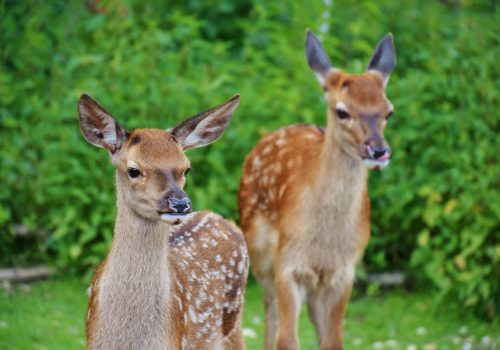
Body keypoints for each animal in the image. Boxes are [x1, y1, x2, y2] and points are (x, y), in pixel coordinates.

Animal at [236, 30, 396, 350]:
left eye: (389, 112)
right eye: (342, 111)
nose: (379, 150)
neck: (324, 241)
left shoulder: (344, 271)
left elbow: (333, 339)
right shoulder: (288, 263)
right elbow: (287, 339)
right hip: (259, 251)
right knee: (271, 314)